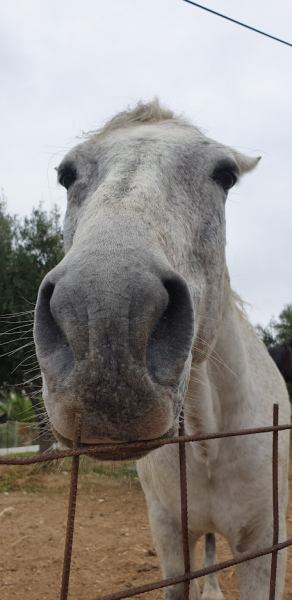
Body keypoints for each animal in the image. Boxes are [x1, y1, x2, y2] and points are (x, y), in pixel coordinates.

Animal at [33, 101, 290, 596]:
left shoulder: (265, 544)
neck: (210, 444)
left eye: (226, 174)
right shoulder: (169, 536)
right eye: (65, 175)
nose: (107, 322)